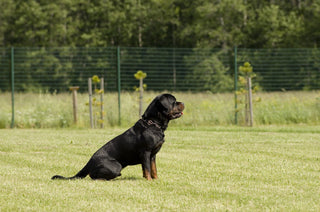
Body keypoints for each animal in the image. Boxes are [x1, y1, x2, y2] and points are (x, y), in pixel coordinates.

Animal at [51, 93, 184, 180]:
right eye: (174, 101)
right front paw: (149, 180)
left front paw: (156, 179)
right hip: (116, 165)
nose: (183, 103)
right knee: (93, 176)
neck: (153, 124)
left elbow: (153, 169)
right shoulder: (146, 152)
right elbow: (146, 169)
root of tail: (89, 162)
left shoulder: (153, 155)